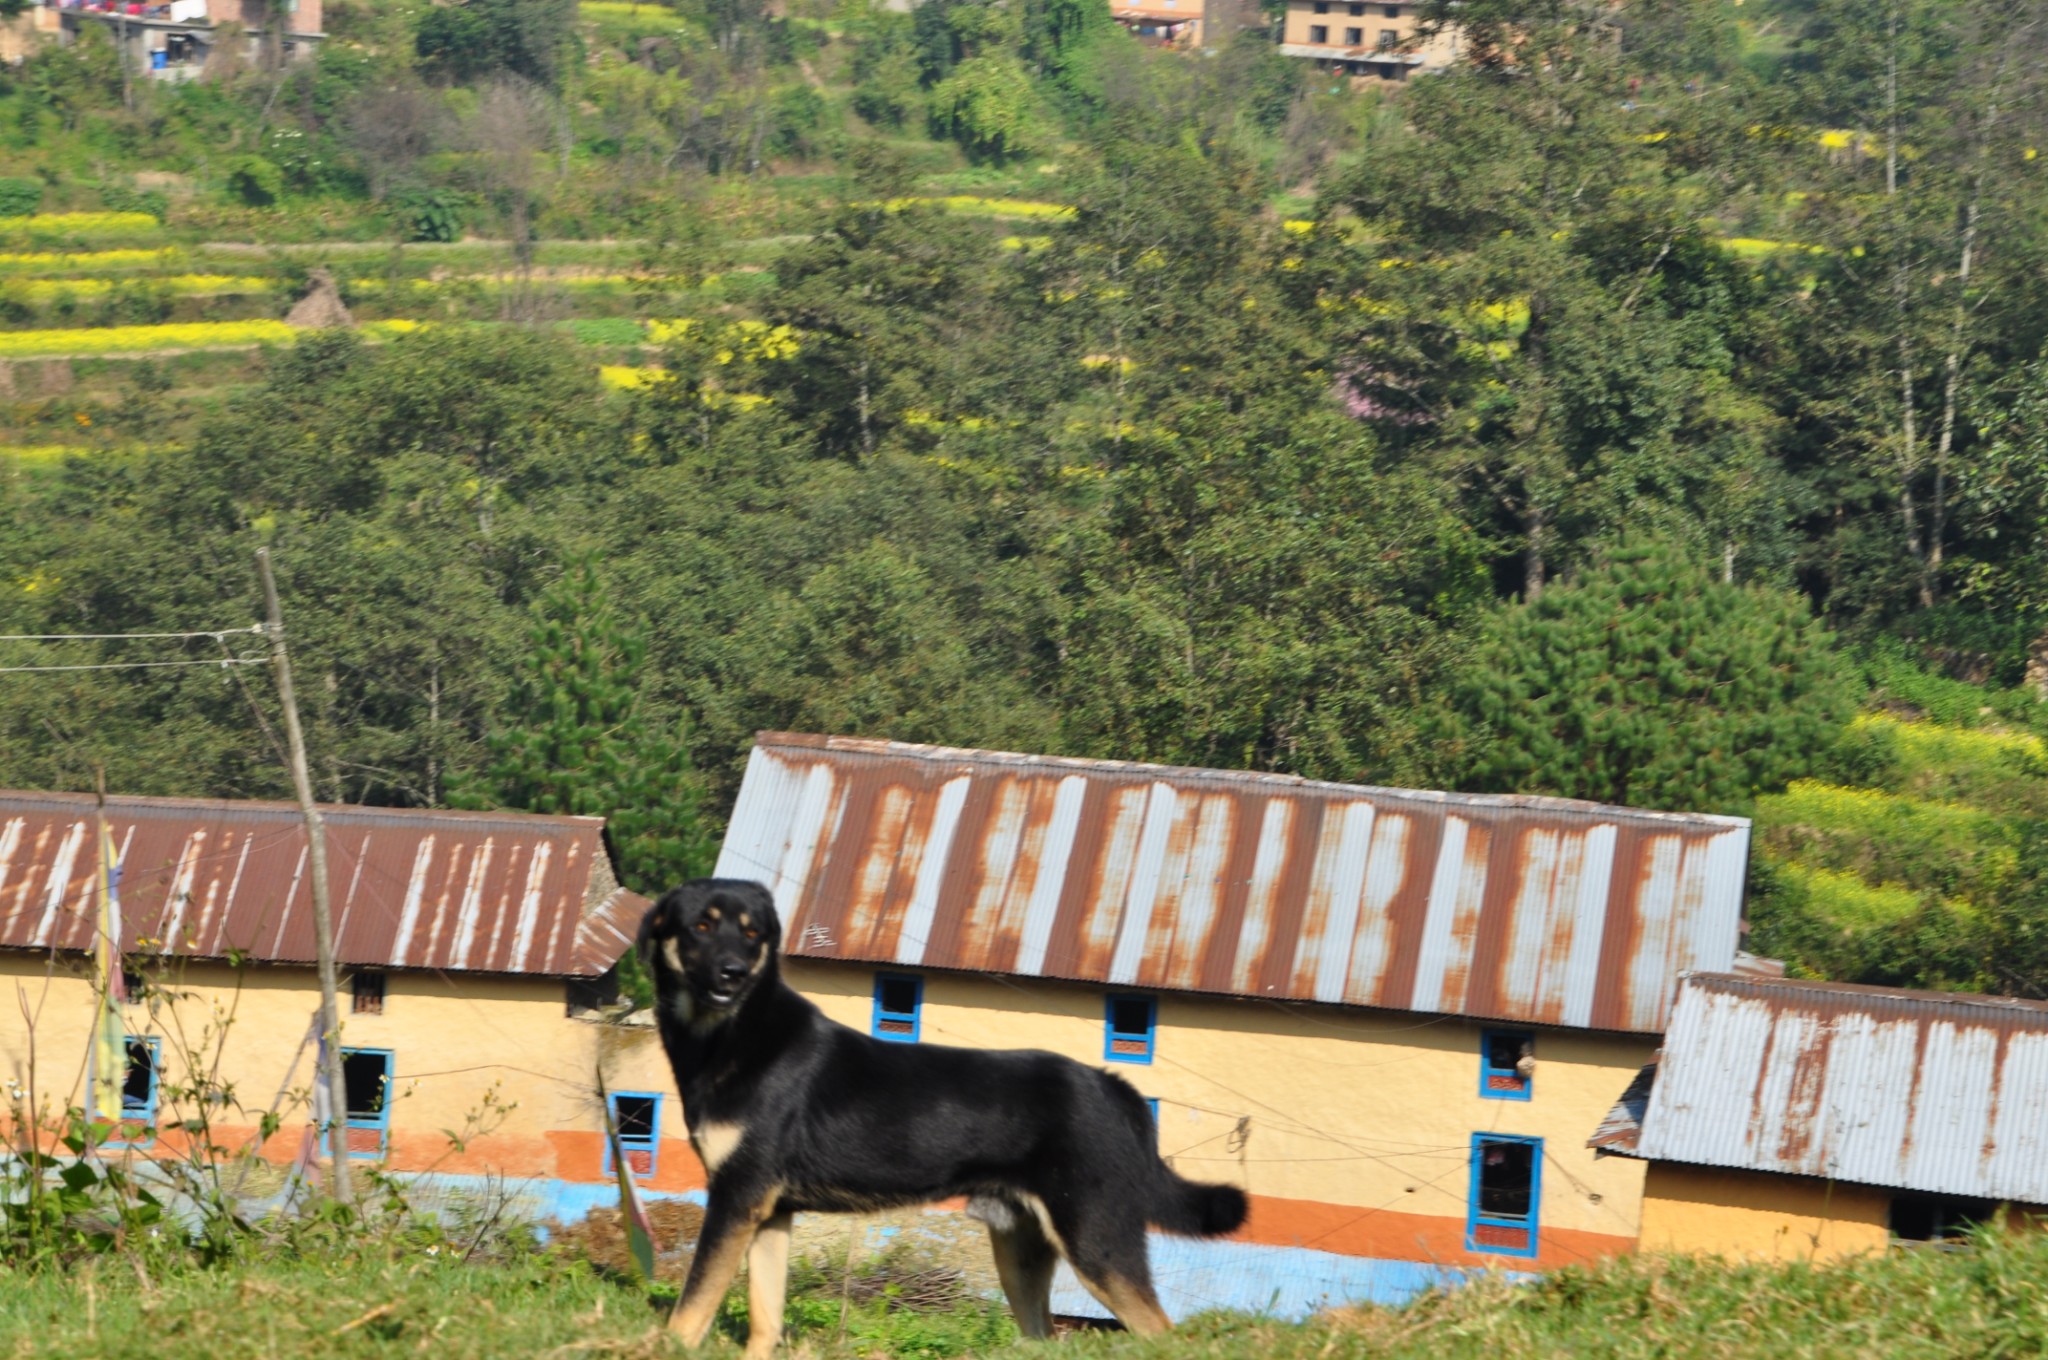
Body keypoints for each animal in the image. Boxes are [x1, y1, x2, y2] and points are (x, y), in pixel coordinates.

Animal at [638, 876, 1245, 1351]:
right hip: (1022, 1256)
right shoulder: (768, 1213)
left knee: (1161, 1332)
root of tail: (1112, 1085)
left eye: (751, 933)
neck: (734, 1035)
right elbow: (765, 1318)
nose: (734, 973)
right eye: (700, 926)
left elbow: (693, 1305)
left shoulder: (735, 1199)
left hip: (1099, 1243)